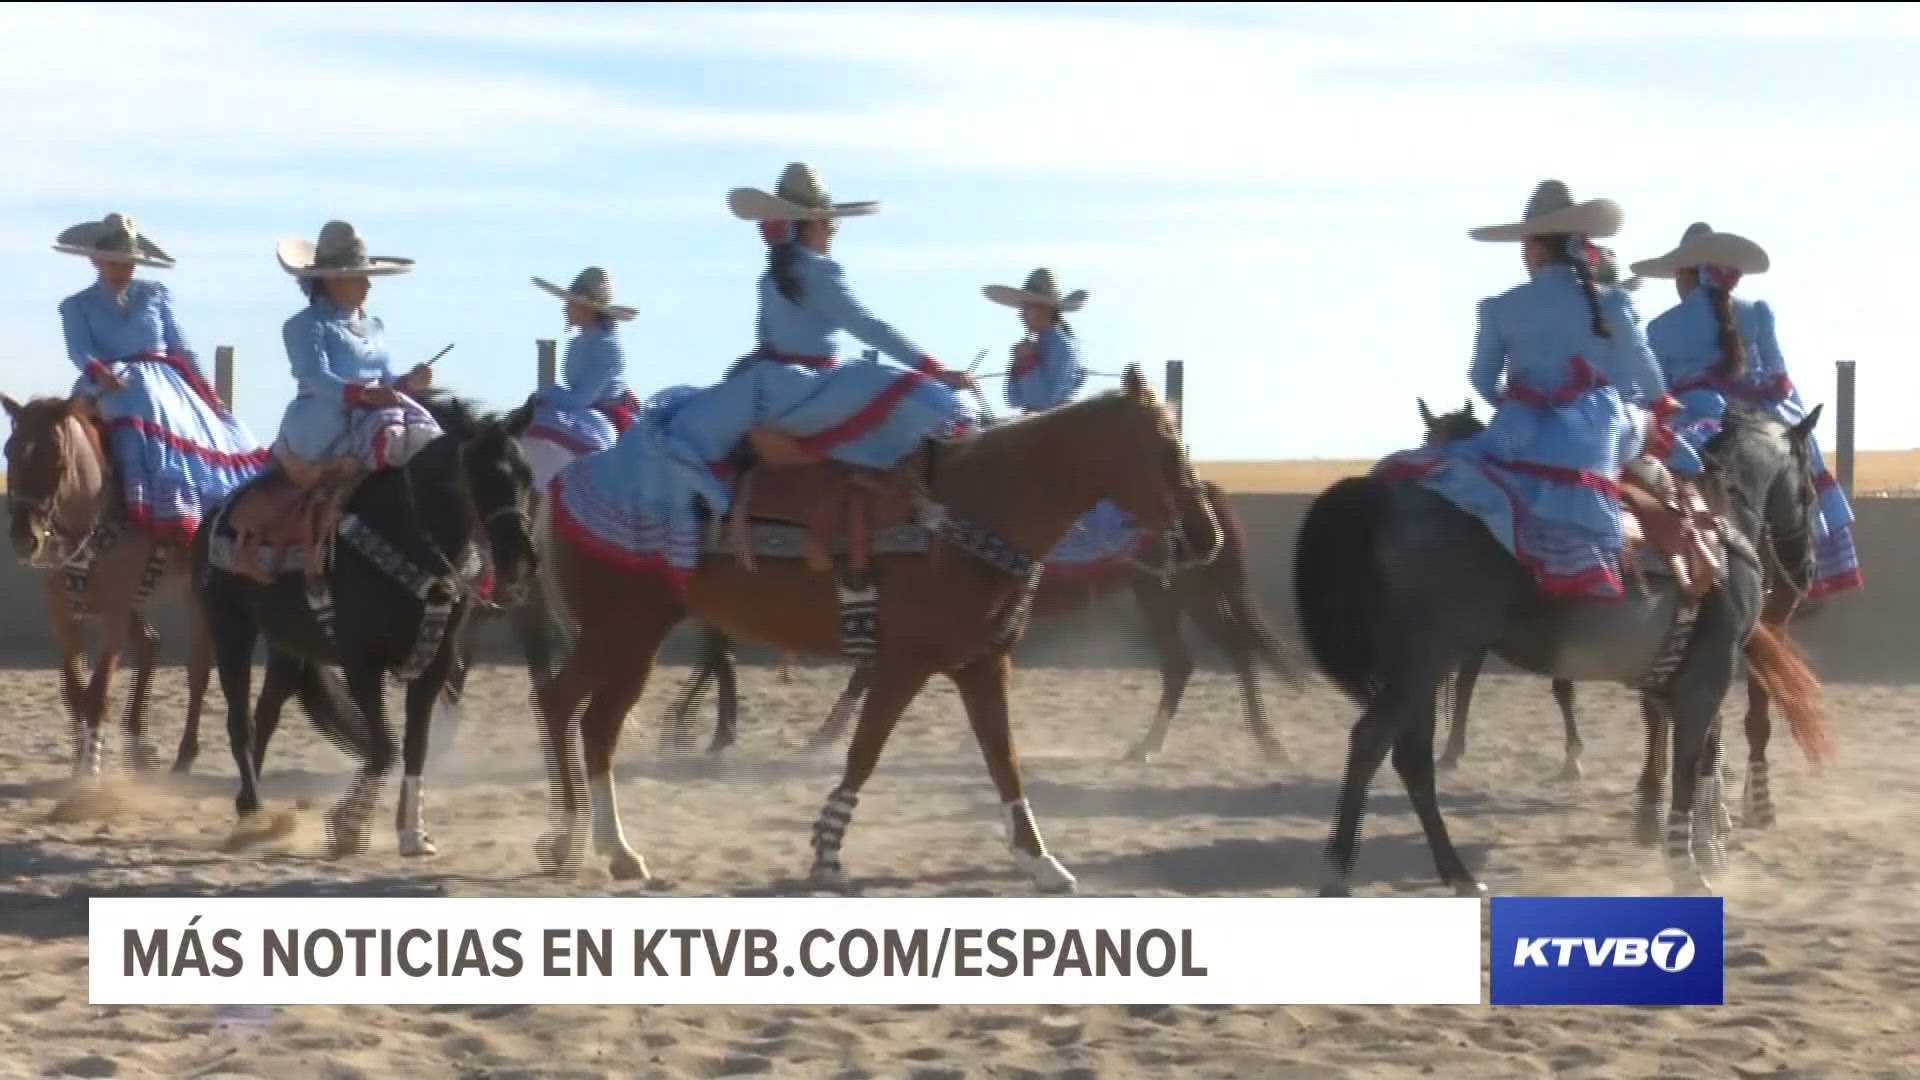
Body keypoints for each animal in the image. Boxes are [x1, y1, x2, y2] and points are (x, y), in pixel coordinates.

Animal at [3, 390, 212, 776]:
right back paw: (137, 745)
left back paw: (185, 755)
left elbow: (97, 695)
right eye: (10, 450)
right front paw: (77, 763)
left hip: (193, 595)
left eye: (57, 456)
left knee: (199, 670)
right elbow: (75, 693)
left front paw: (90, 770)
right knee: (149, 645)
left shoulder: (112, 614)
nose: (25, 538)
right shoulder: (61, 612)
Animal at [192, 386, 541, 849]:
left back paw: (253, 807)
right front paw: (347, 827)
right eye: (480, 476)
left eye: (527, 476)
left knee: (266, 714)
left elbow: (414, 747)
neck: (411, 540)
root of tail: (217, 513)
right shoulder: (361, 662)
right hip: (230, 627)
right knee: (240, 720)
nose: (518, 559)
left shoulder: (436, 665)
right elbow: (384, 746)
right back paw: (252, 806)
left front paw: (413, 832)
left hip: (289, 645)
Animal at [533, 365, 1205, 887]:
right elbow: (865, 752)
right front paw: (827, 856)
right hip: (619, 631)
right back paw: (571, 837)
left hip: (635, 640)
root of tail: (570, 484)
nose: (1207, 535)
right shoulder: (902, 664)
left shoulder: (984, 665)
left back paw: (609, 849)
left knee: (593, 724)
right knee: (565, 704)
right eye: (1165, 452)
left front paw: (1039, 861)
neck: (967, 515)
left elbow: (1003, 758)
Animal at [1290, 403, 1827, 891]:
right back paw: (1337, 877)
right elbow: (1691, 762)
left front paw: (1700, 842)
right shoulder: (1707, 674)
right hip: (1423, 663)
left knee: (1412, 759)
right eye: (1810, 487)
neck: (1716, 529)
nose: (1807, 568)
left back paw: (1457, 873)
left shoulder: (1669, 680)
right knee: (1371, 742)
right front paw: (1690, 869)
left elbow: (1689, 754)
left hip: (1416, 670)